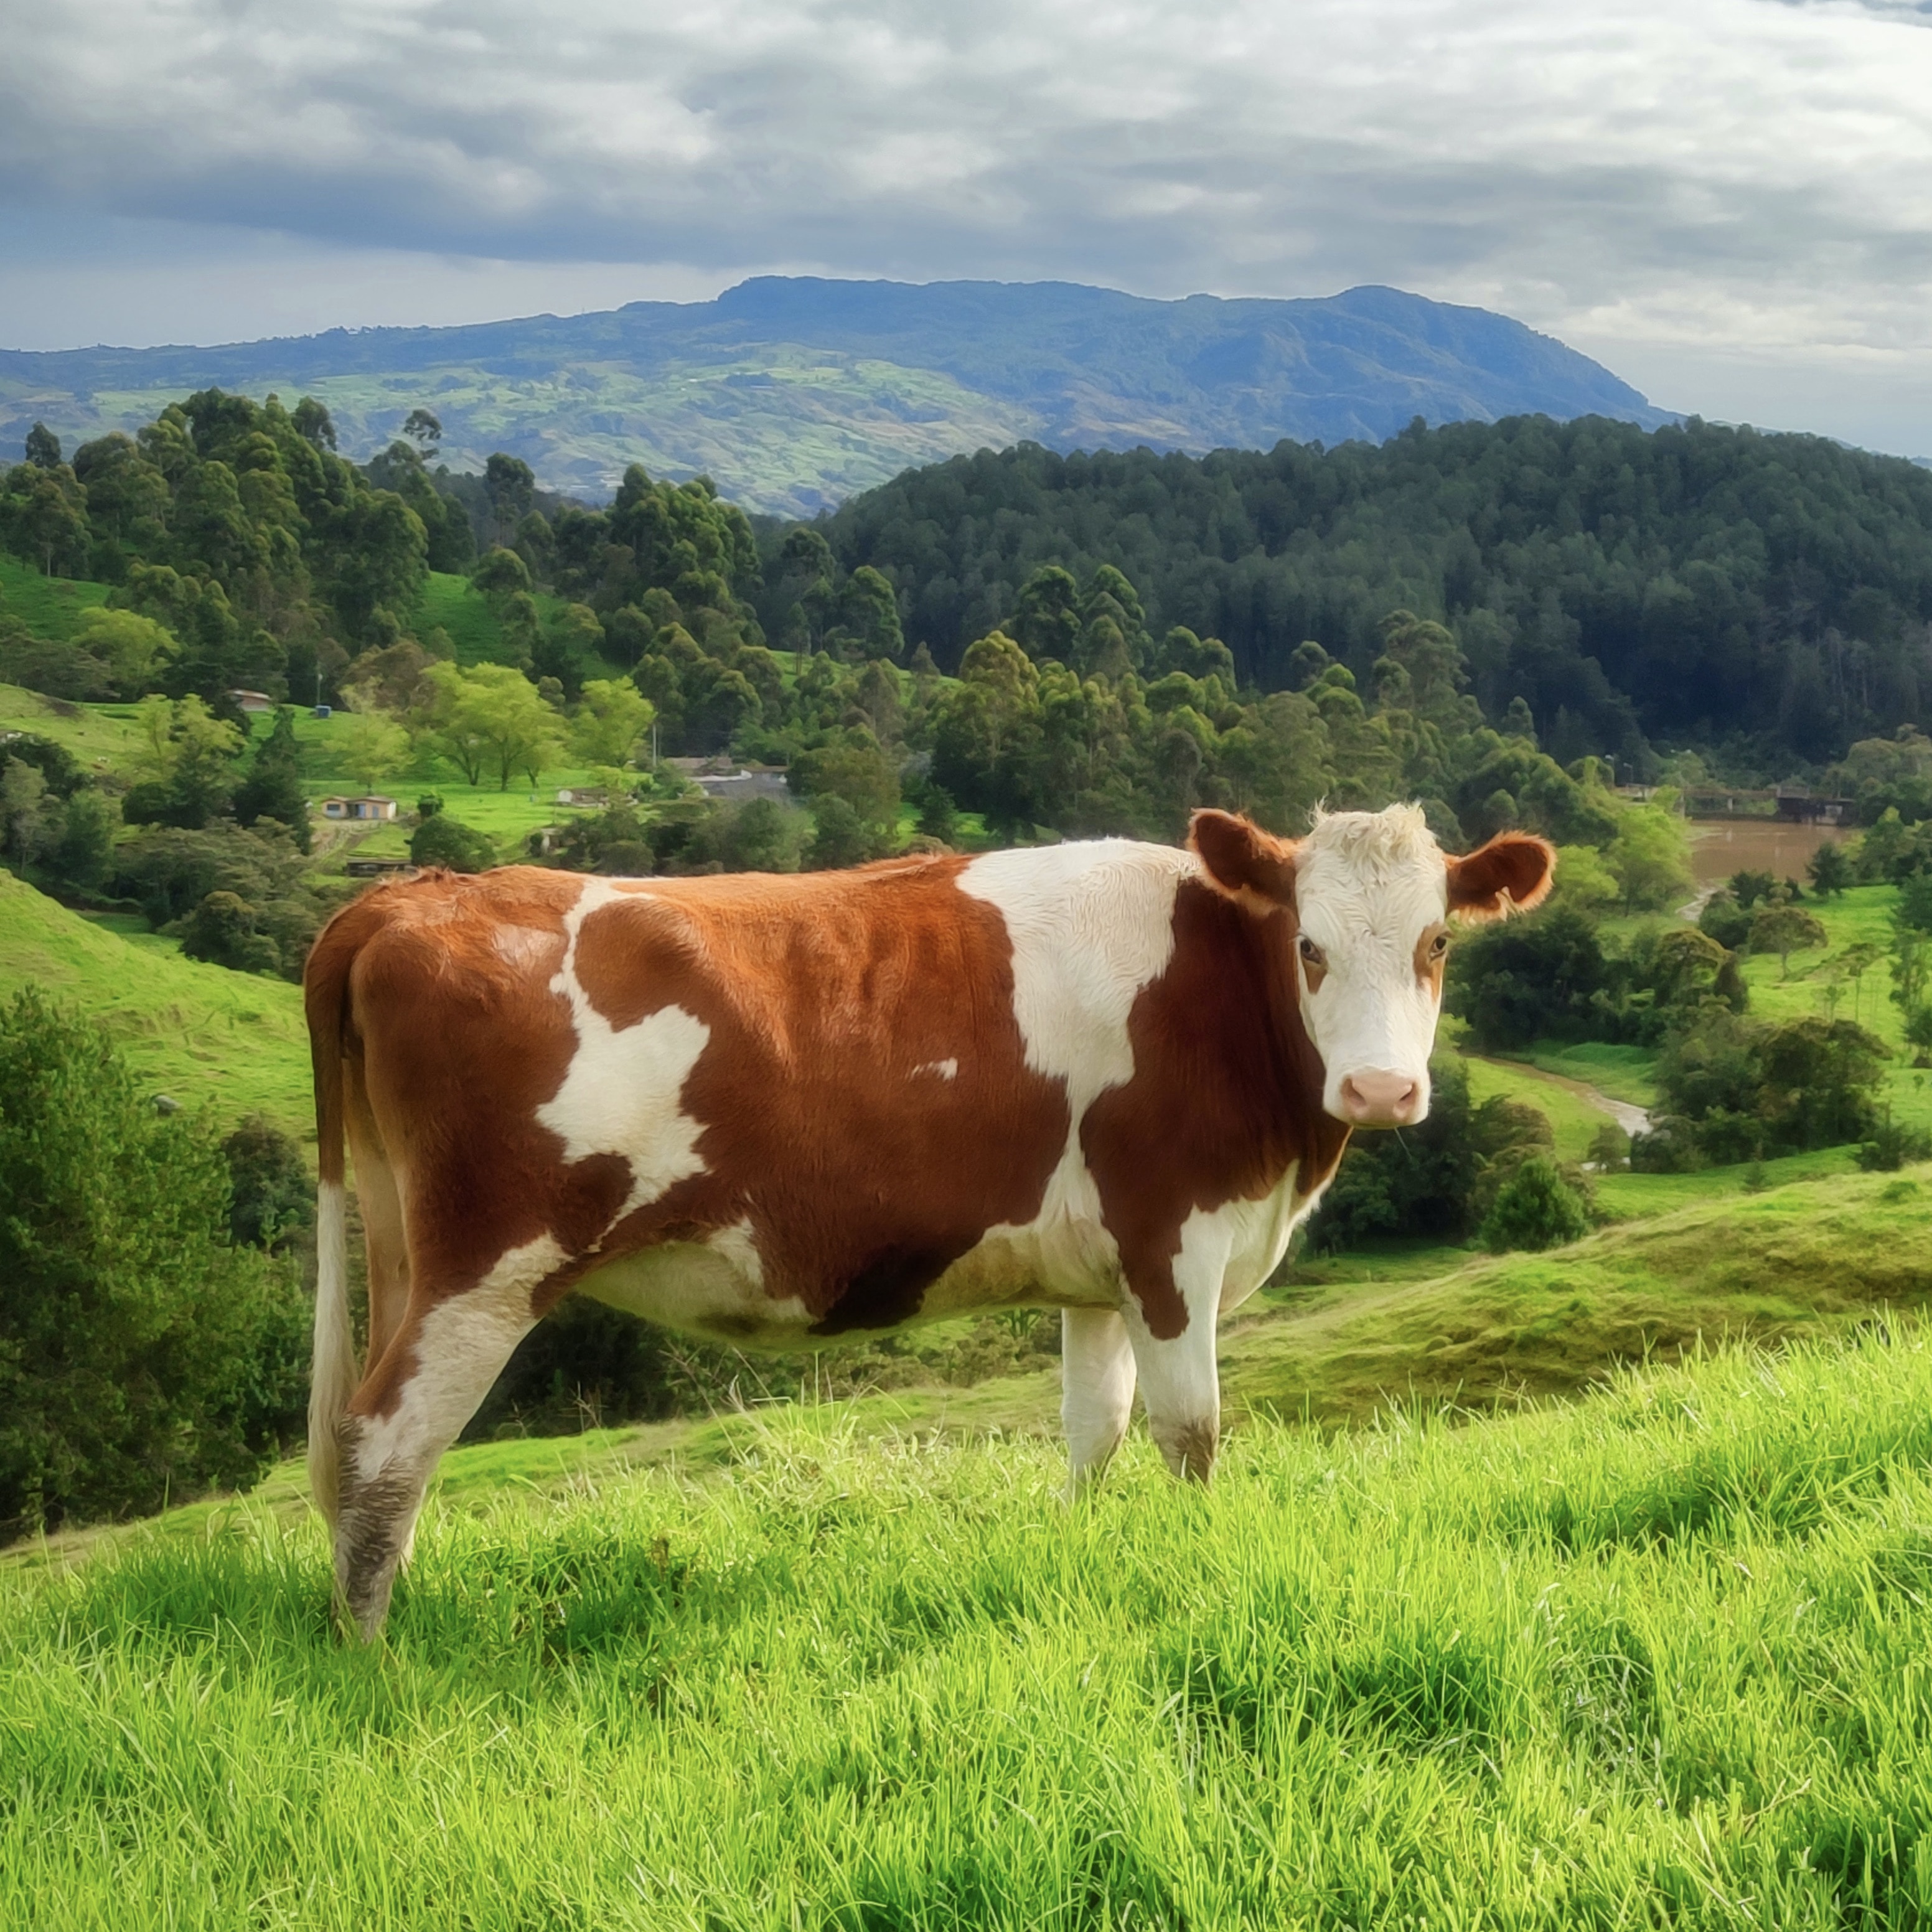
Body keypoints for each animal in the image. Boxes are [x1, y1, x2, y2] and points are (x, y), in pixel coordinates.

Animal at [305, 805, 1553, 1635]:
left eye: (1437, 941)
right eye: (1309, 945)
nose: (1381, 1090)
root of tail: (414, 892)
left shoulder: (1098, 1274)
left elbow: (1093, 1430)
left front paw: (1082, 1552)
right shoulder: (1173, 1242)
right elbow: (1189, 1436)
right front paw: (1201, 1567)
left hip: (401, 1245)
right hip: (486, 1264)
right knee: (384, 1445)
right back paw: (376, 1657)